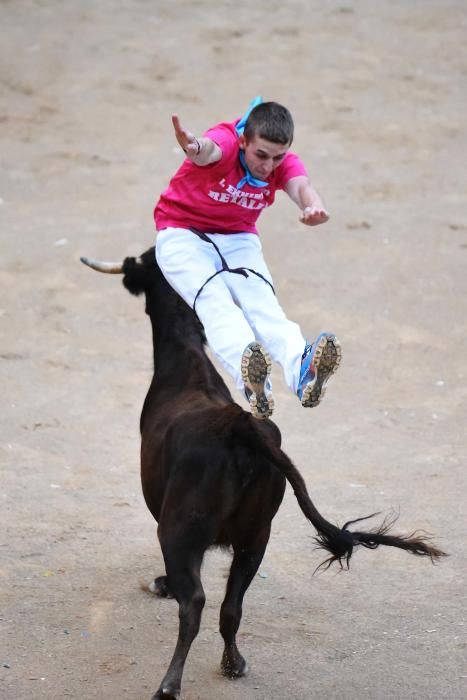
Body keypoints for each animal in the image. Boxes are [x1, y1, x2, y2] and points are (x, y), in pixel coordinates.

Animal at [82, 249, 448, 700]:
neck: (185, 363)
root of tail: (240, 427)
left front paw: (162, 584)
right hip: (257, 536)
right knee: (231, 606)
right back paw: (233, 664)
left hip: (181, 530)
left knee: (196, 603)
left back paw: (169, 684)